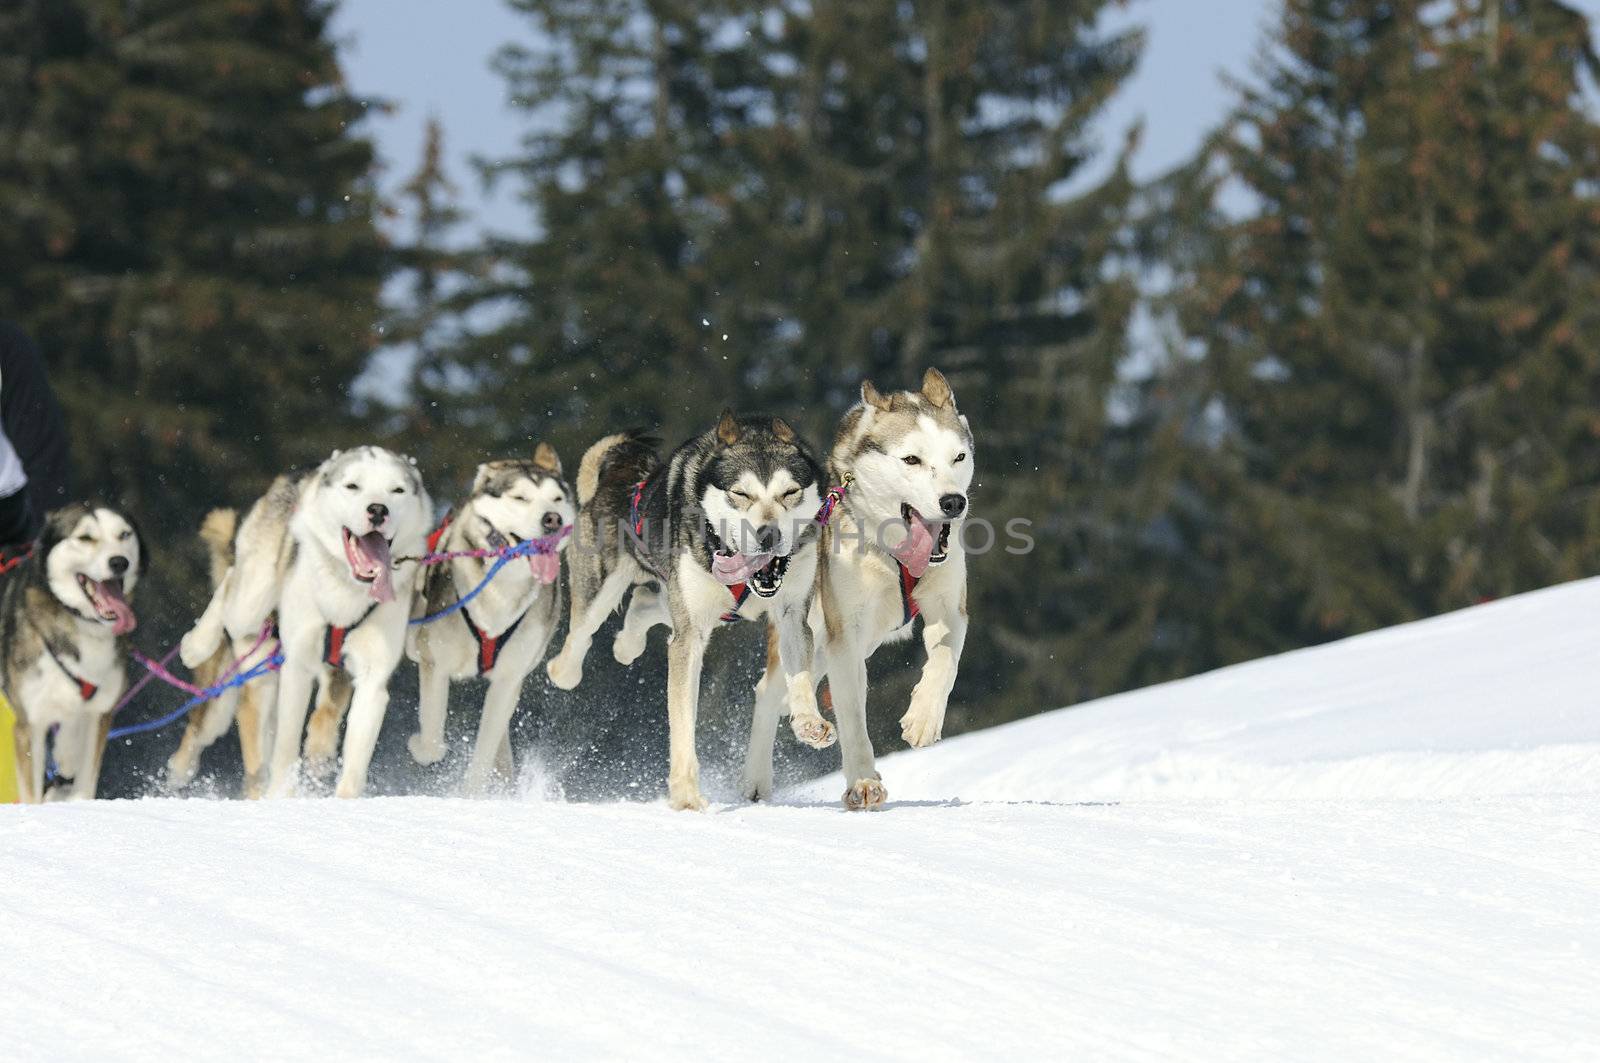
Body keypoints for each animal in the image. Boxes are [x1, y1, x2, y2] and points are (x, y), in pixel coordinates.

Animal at [0, 505, 145, 797]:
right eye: (85, 538)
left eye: (124, 534)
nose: (119, 562)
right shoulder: (29, 725)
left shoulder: (100, 715)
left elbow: (86, 781)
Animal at [180, 441, 432, 797]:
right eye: (352, 486)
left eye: (397, 490)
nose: (378, 510)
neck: (347, 591)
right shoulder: (297, 666)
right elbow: (285, 749)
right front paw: (281, 795)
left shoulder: (372, 678)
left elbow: (354, 762)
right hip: (251, 601)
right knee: (230, 586)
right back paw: (196, 645)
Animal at [406, 445, 576, 794]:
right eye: (520, 498)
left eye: (556, 499)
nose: (552, 519)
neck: (500, 588)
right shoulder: (435, 664)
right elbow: (432, 739)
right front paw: (421, 746)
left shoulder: (509, 678)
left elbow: (485, 750)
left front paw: (473, 793)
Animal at [547, 409, 832, 810]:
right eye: (740, 493)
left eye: (790, 492)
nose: (768, 535)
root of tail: (624, 478)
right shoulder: (690, 637)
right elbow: (682, 721)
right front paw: (685, 796)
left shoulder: (793, 615)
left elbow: (800, 675)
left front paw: (807, 720)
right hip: (602, 589)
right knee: (578, 639)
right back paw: (566, 669)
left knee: (644, 602)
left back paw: (627, 643)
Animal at [739, 369, 966, 810]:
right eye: (911, 459)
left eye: (958, 457)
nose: (953, 502)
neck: (894, 553)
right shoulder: (845, 633)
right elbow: (852, 715)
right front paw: (862, 782)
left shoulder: (950, 608)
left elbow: (945, 660)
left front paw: (923, 719)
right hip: (810, 634)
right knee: (770, 691)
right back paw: (758, 778)